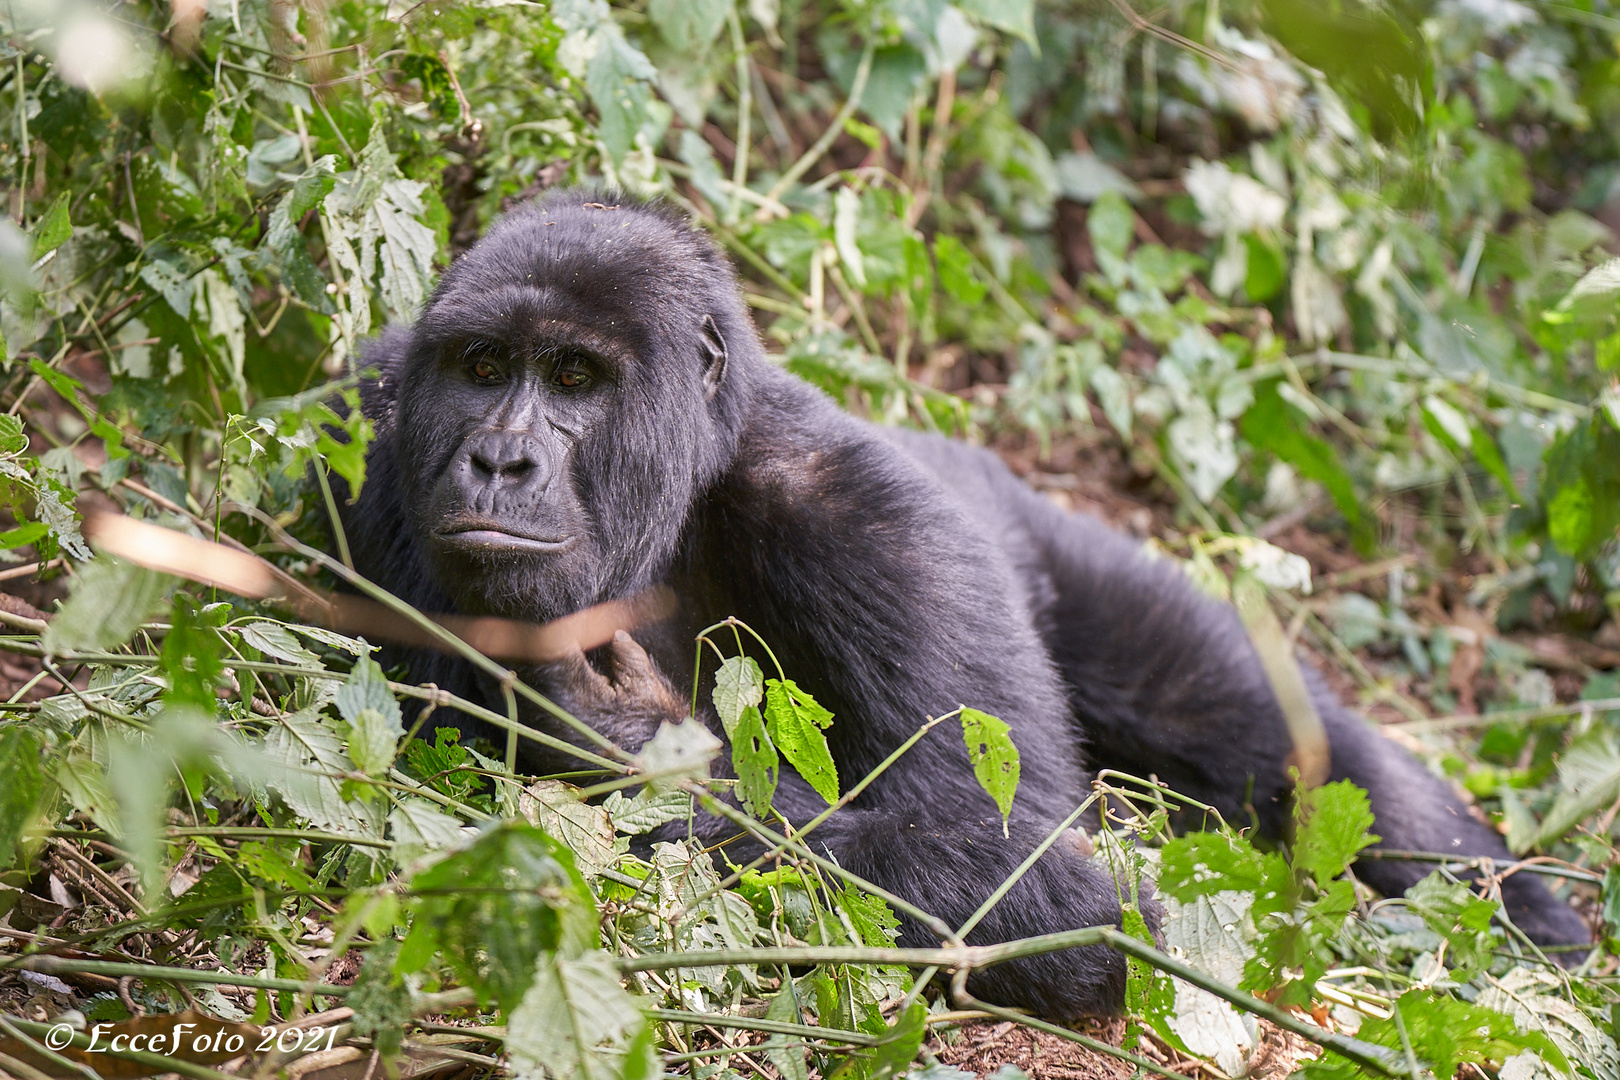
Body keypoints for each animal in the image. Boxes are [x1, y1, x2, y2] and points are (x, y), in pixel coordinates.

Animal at [335, 187, 1587, 1023]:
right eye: (484, 369)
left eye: (576, 379)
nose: (500, 462)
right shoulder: (366, 436)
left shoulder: (884, 528)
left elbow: (1026, 863)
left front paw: (623, 735)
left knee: (1278, 738)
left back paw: (1518, 915)